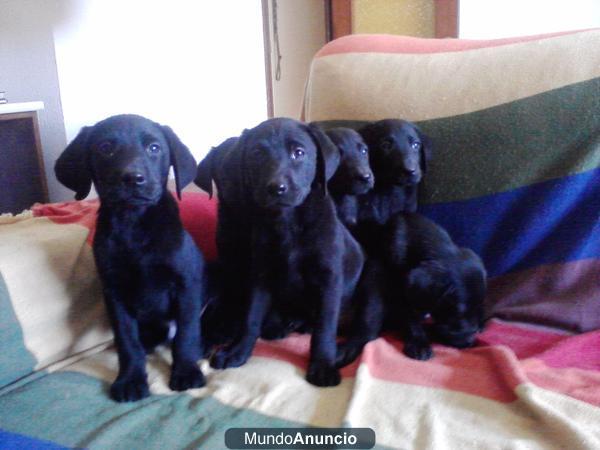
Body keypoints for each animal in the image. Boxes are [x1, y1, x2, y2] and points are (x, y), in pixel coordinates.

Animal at [54, 112, 209, 400]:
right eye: (105, 148)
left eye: (154, 148)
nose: (133, 178)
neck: (134, 225)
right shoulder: (114, 293)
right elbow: (127, 341)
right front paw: (130, 380)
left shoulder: (186, 285)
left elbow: (186, 333)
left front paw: (185, 371)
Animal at [209, 118, 364, 384]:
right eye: (257, 154)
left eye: (299, 153)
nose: (276, 188)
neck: (287, 223)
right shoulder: (261, 277)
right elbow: (251, 318)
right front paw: (237, 352)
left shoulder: (329, 279)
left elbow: (325, 326)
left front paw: (322, 365)